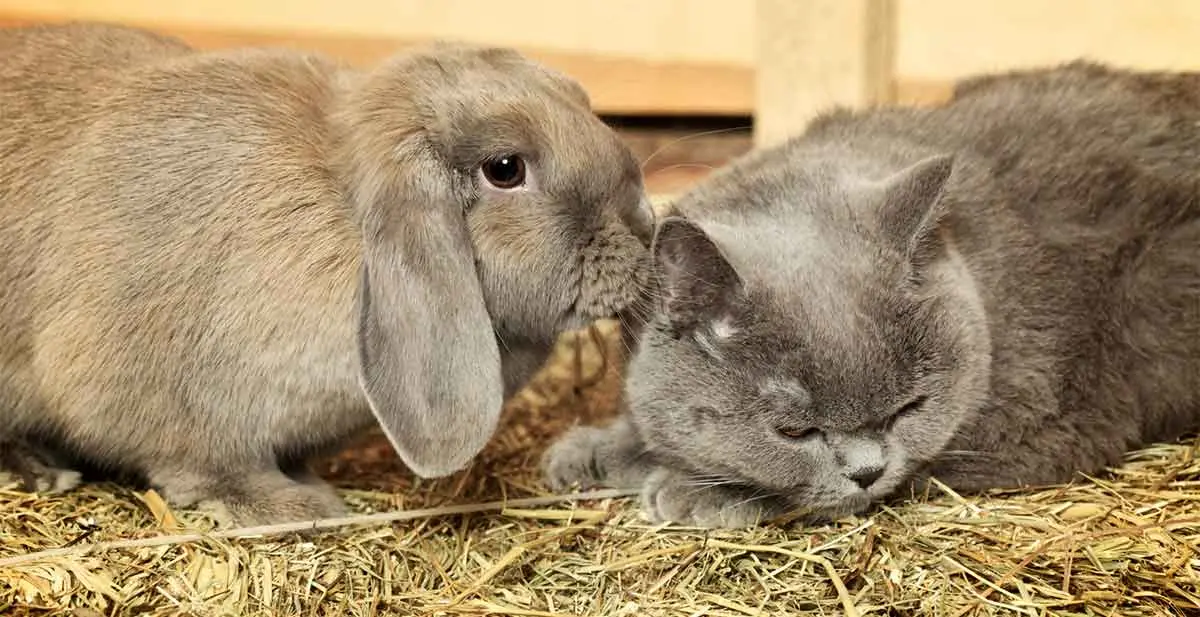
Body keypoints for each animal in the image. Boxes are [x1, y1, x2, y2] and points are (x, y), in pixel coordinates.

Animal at [0, 21, 657, 523]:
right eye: (504, 169)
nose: (644, 227)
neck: (341, 214)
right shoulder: (158, 402)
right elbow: (206, 467)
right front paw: (299, 507)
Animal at [542, 60, 1200, 525]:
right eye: (795, 431)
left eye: (909, 409)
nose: (866, 471)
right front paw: (597, 449)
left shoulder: (1035, 428)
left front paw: (695, 490)